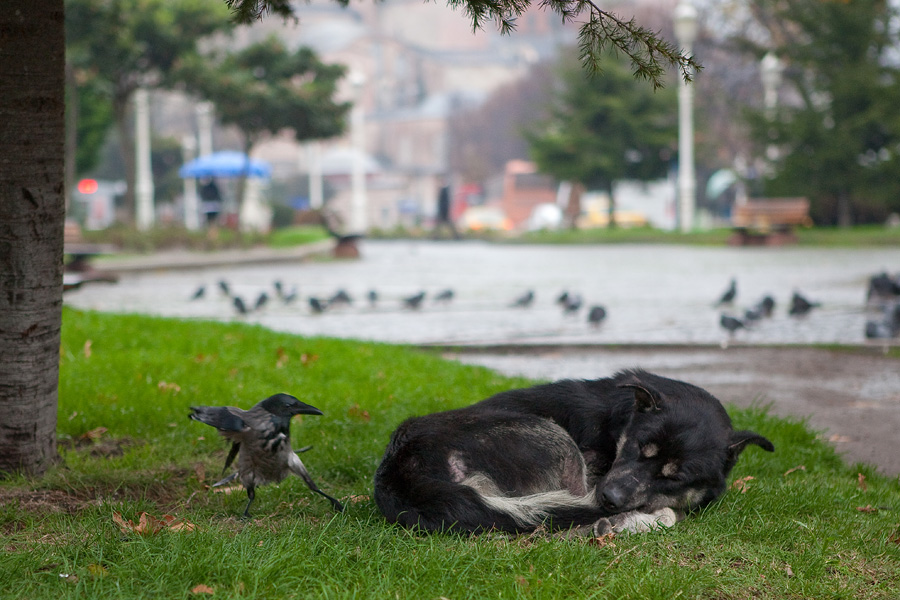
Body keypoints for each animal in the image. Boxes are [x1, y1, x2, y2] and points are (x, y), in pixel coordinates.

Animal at [372, 370, 772, 536]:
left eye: (675, 476)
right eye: (637, 447)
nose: (610, 499)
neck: (621, 422)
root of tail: (402, 467)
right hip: (554, 439)